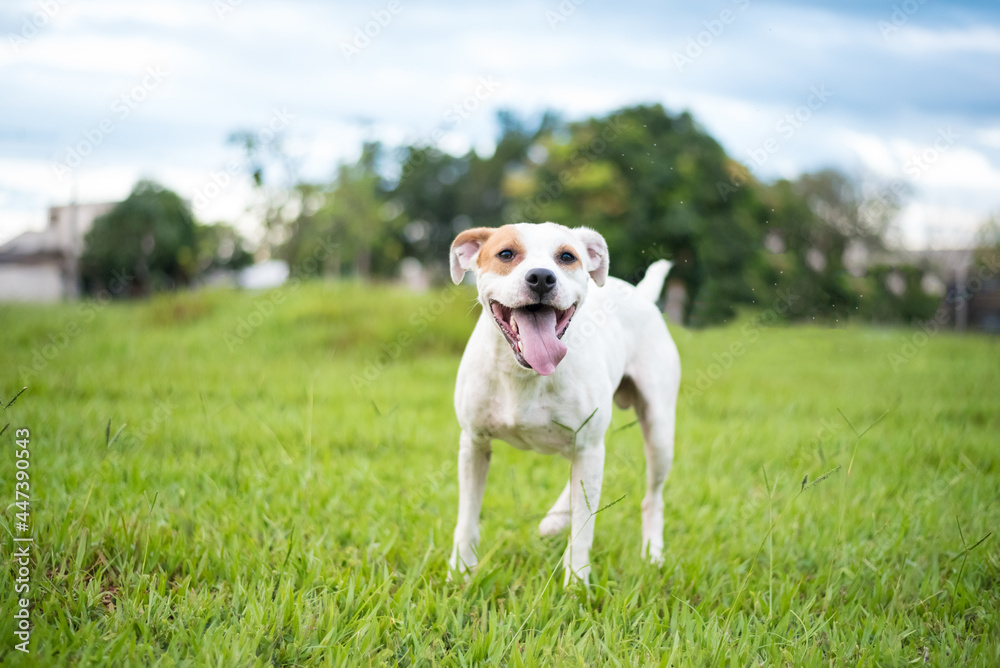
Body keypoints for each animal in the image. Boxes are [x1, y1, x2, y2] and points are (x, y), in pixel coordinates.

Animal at [450, 222, 684, 580]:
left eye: (567, 257)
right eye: (506, 253)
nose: (541, 277)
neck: (523, 374)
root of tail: (640, 294)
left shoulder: (588, 444)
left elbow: (584, 525)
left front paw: (576, 581)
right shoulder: (474, 445)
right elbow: (467, 517)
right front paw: (460, 571)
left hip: (657, 432)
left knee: (651, 498)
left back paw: (652, 553)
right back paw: (555, 518)